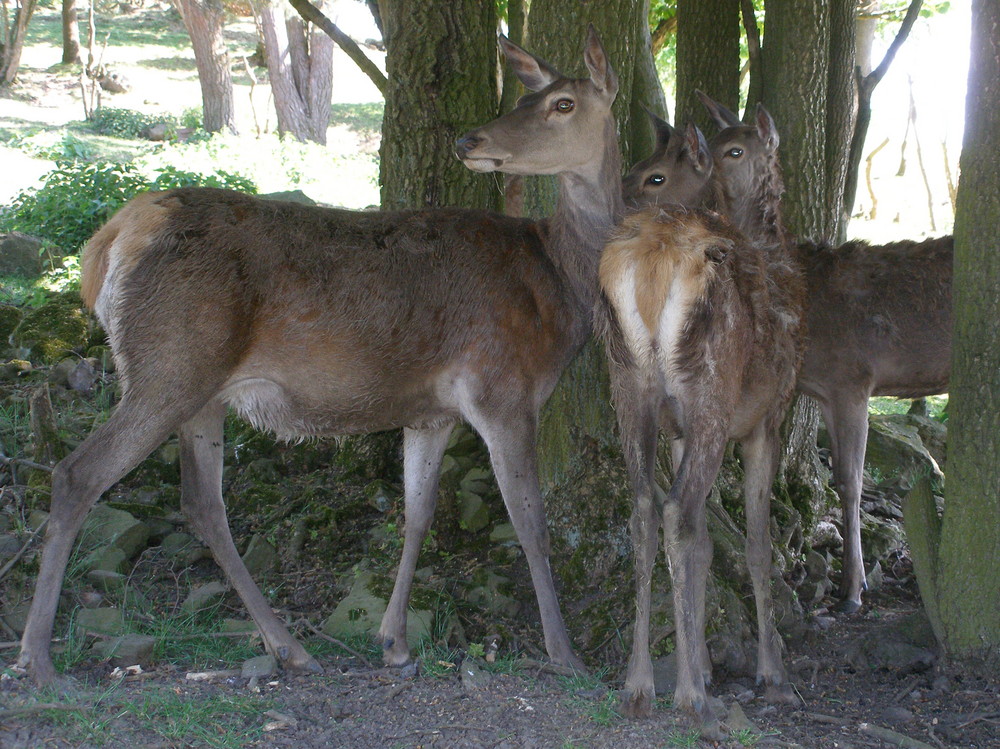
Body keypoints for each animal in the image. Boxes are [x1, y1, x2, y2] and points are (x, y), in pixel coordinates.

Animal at [17, 27, 624, 684]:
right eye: (528, 98)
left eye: (562, 103)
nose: (471, 140)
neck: (559, 285)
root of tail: (107, 242)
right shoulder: (504, 388)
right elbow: (530, 521)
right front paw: (565, 653)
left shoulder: (432, 411)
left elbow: (418, 513)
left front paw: (394, 642)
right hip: (168, 366)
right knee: (77, 474)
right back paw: (36, 657)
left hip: (200, 390)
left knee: (202, 505)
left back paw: (288, 646)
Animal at [596, 121, 800, 724]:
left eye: (656, 174)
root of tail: (654, 256)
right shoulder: (766, 419)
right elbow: (756, 544)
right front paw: (772, 673)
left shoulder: (679, 430)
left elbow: (708, 545)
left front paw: (706, 662)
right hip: (711, 390)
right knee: (676, 511)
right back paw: (691, 699)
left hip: (629, 387)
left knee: (644, 508)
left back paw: (639, 684)